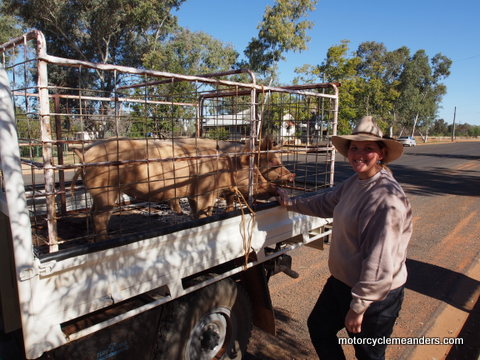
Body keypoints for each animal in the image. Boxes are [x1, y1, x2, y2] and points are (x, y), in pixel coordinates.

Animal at [69, 139, 276, 240]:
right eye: (257, 175)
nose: (272, 189)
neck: (225, 167)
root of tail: (84, 153)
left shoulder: (193, 193)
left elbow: (195, 210)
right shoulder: (206, 190)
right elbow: (205, 211)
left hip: (98, 193)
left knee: (93, 213)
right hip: (106, 189)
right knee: (100, 216)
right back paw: (104, 240)